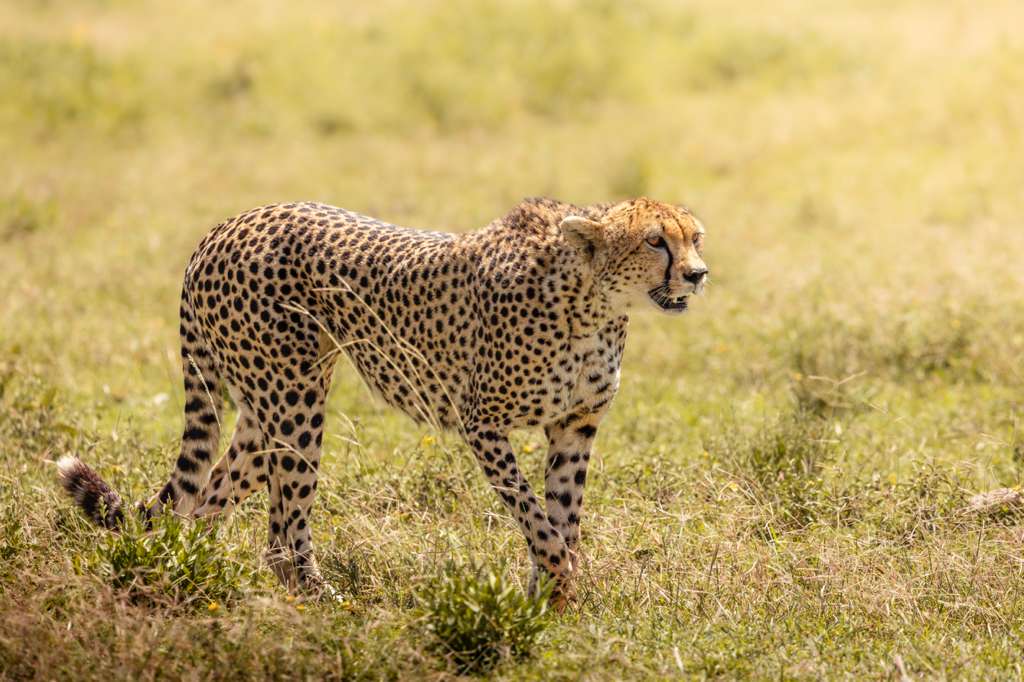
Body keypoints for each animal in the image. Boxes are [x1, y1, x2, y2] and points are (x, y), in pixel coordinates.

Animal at [58, 196, 708, 605]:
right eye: (655, 241)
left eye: (695, 237)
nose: (698, 274)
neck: (592, 303)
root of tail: (227, 225)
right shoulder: (482, 423)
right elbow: (537, 519)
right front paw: (557, 585)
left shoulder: (575, 426)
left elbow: (561, 518)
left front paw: (553, 602)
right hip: (295, 402)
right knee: (283, 530)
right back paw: (326, 603)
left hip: (264, 411)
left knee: (209, 501)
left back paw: (194, 576)